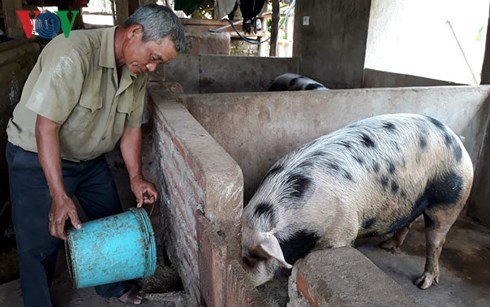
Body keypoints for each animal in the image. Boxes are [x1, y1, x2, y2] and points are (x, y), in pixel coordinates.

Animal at [241, 112, 474, 288]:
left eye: (252, 257)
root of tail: (457, 140)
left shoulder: (343, 229)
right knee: (407, 222)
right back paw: (387, 246)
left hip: (450, 200)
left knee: (436, 241)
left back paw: (423, 283)